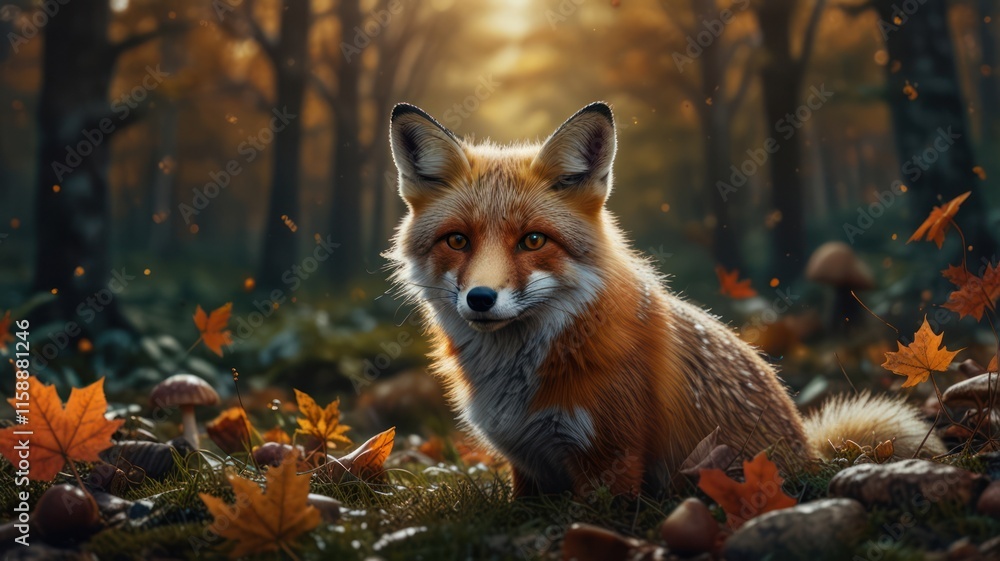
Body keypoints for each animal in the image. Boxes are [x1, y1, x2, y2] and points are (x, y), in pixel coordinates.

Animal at [385, 101, 945, 497]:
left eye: (533, 241)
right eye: (458, 240)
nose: (480, 298)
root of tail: (809, 453)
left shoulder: (610, 460)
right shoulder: (527, 469)